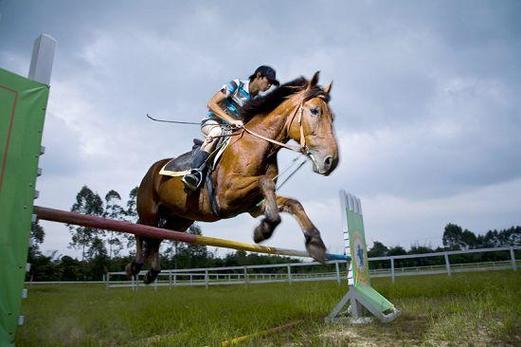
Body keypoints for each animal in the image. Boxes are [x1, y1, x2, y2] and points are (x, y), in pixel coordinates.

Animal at [127, 72, 340, 284]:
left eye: (332, 117)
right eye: (315, 111)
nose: (331, 161)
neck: (257, 145)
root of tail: (152, 170)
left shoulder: (253, 205)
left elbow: (293, 203)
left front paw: (315, 243)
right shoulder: (226, 196)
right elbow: (265, 182)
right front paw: (264, 229)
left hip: (180, 218)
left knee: (156, 236)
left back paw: (152, 272)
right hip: (150, 209)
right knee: (140, 228)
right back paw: (134, 266)